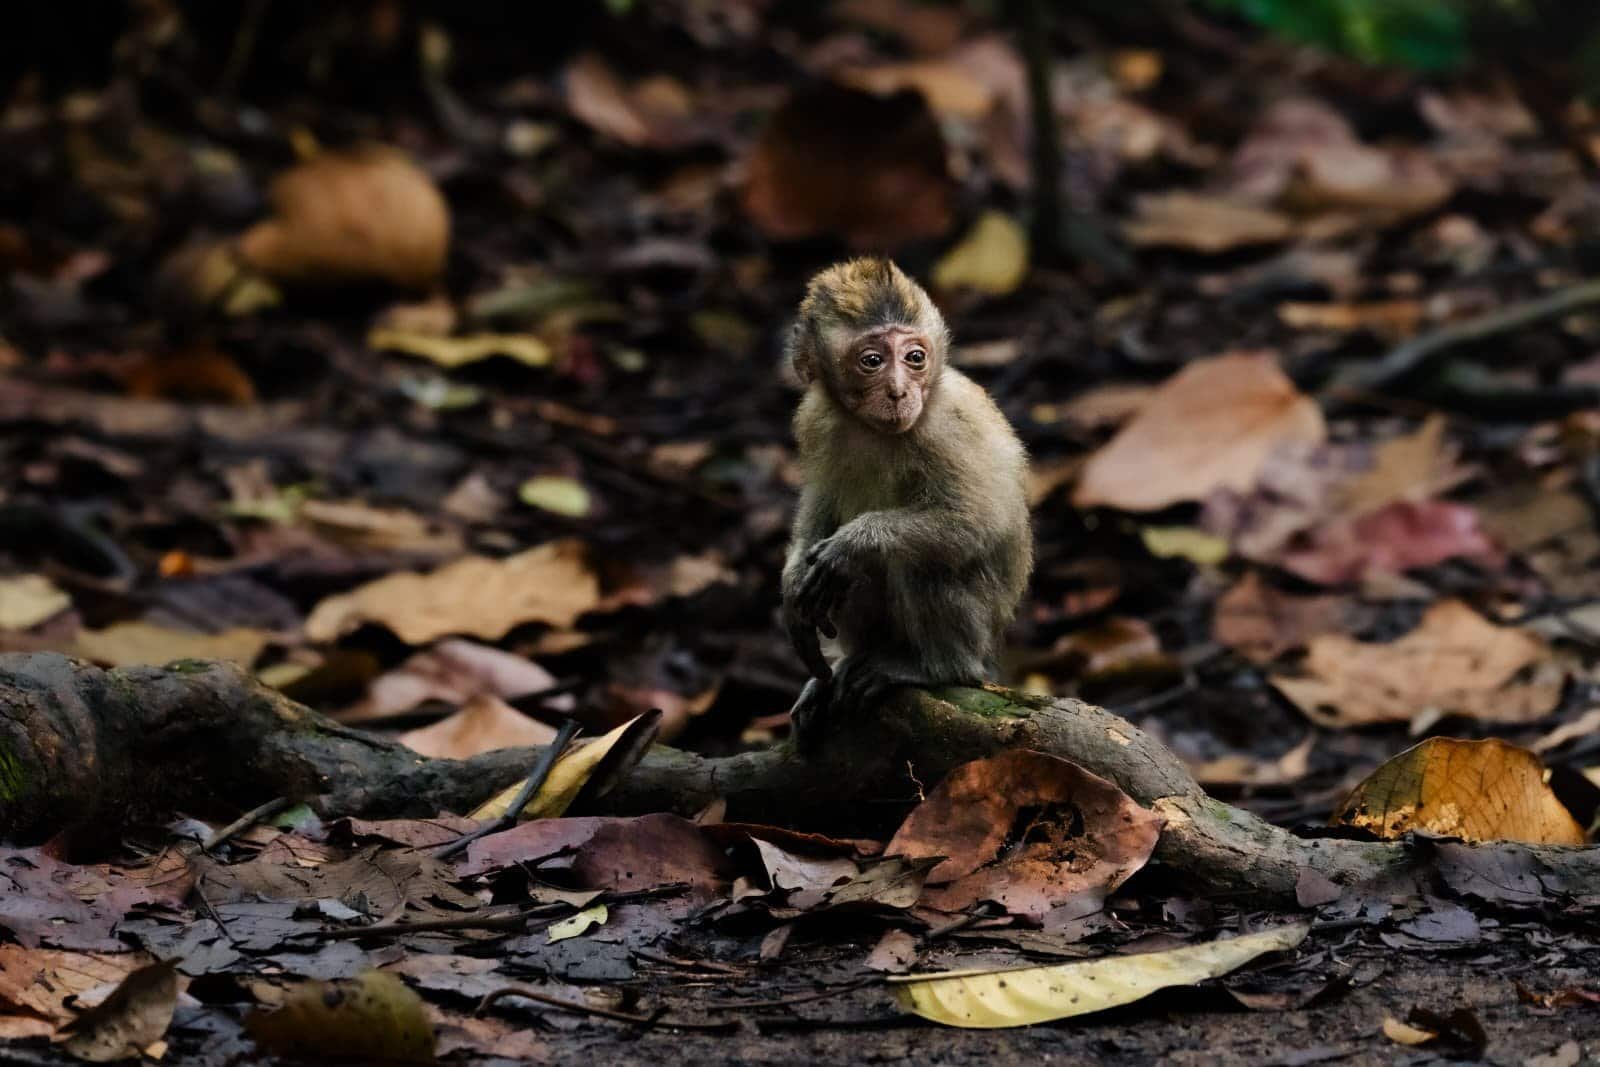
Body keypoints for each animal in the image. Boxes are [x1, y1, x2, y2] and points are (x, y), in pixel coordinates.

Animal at [780, 258, 1033, 748]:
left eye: (915, 358)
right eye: (872, 361)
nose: (898, 391)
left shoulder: (949, 426)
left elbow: (977, 522)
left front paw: (854, 543)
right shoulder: (814, 417)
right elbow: (820, 503)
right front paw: (793, 585)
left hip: (979, 630)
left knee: (922, 563)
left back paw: (935, 667)